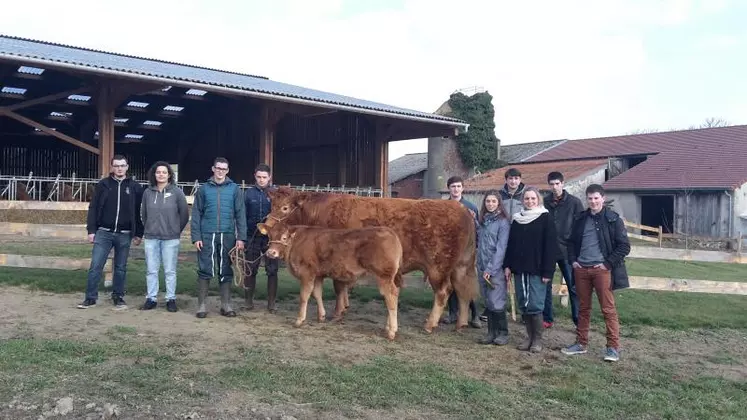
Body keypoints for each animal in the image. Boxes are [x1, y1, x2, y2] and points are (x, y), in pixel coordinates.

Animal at [262, 221, 406, 340]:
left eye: (284, 237)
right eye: (269, 236)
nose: (270, 253)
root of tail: (390, 232)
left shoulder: (307, 273)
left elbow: (304, 296)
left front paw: (299, 320)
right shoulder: (318, 275)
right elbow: (317, 294)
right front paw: (321, 316)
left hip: (384, 275)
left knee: (391, 296)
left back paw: (392, 331)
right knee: (394, 295)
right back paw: (388, 327)